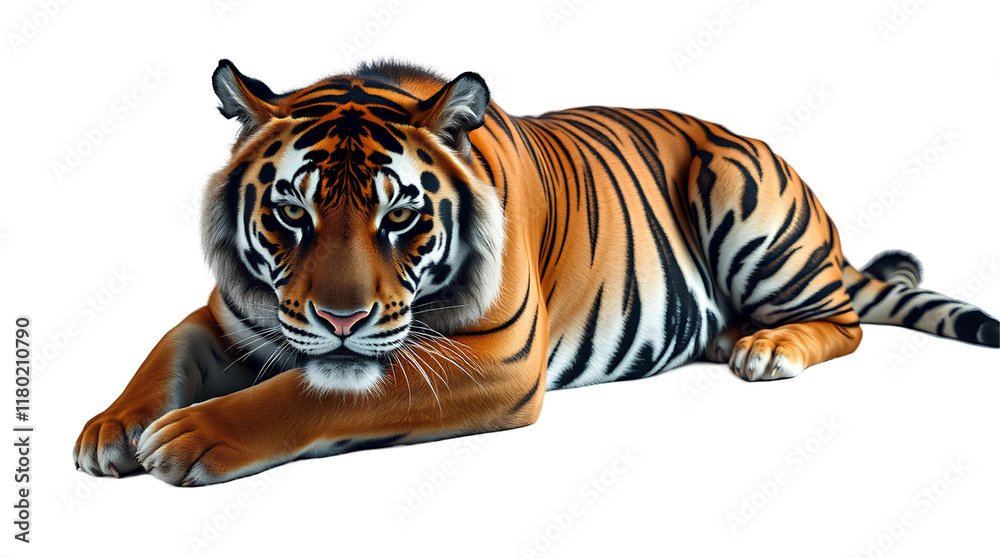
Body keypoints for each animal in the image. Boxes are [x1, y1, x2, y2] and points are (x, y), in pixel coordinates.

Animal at [73, 60, 999, 486]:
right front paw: (111, 428)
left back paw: (767, 347)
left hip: (737, 185)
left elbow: (310, 394)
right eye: (291, 213)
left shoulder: (491, 358)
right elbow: (164, 352)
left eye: (399, 216)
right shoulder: (228, 317)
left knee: (843, 320)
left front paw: (189, 437)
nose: (339, 321)